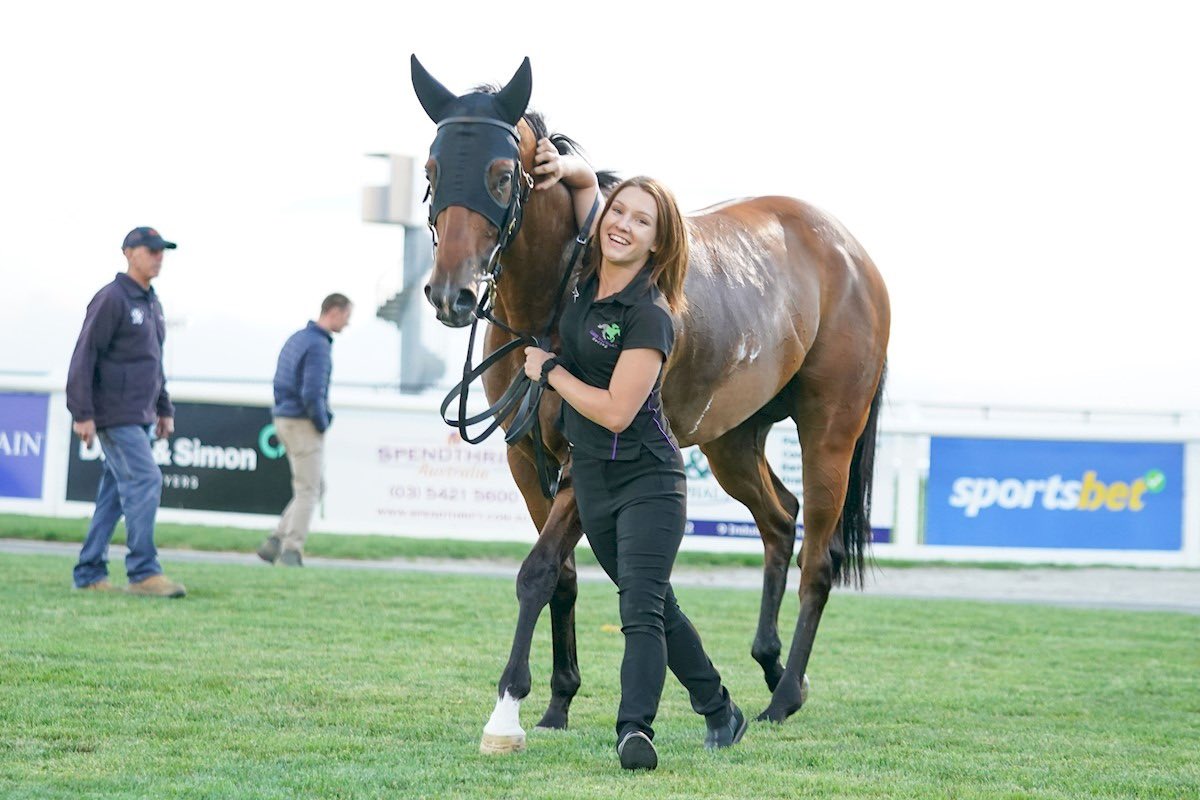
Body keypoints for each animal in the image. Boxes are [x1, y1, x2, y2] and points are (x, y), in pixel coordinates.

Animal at [410, 56, 890, 751]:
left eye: (501, 176)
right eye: (430, 171)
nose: (452, 294)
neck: (554, 298)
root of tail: (852, 255)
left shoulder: (580, 460)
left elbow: (537, 571)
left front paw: (508, 706)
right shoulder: (524, 457)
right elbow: (561, 576)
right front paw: (557, 702)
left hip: (830, 432)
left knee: (819, 559)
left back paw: (784, 697)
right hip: (732, 439)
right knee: (780, 520)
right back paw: (772, 670)